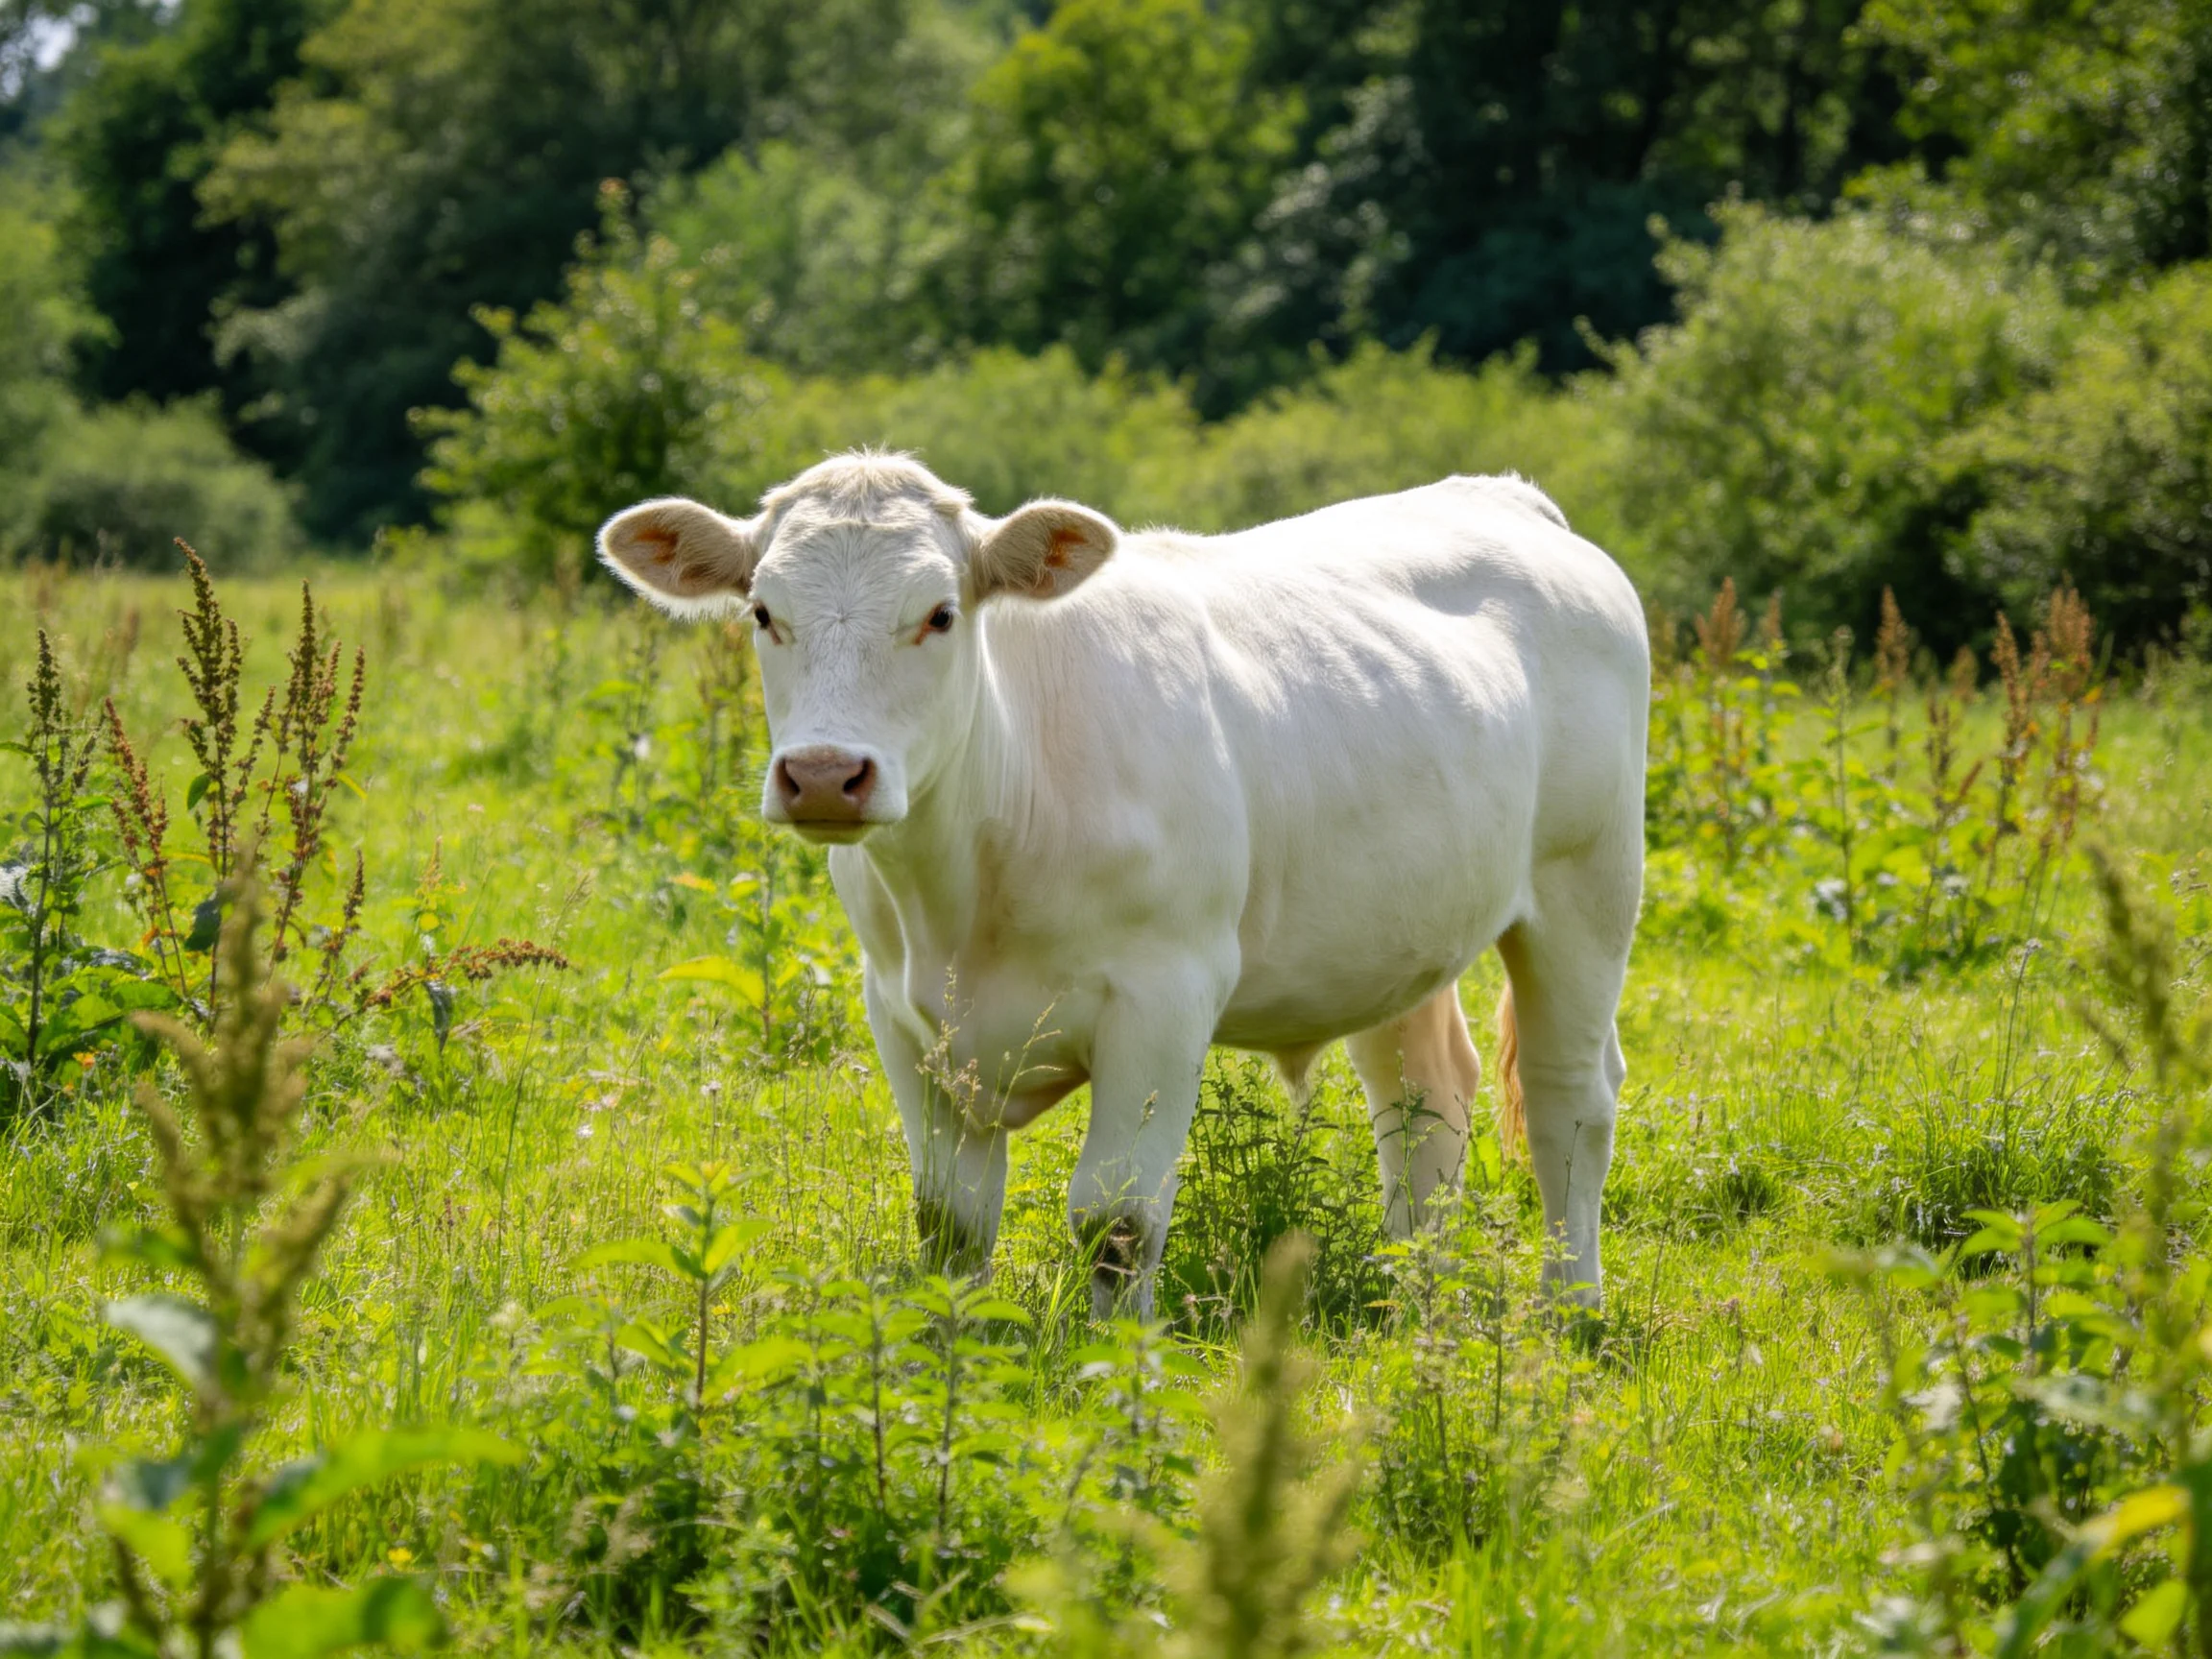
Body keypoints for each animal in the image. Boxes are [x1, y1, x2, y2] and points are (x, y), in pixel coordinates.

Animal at [598, 453, 1647, 1318]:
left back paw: (1570, 1308)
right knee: (1424, 1099)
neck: (966, 895)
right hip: (1394, 929)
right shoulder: (896, 1011)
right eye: (762, 613)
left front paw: (1118, 1375)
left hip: (1588, 884)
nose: (822, 774)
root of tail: (1504, 496)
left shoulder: (1164, 997)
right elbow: (950, 1222)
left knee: (1568, 1098)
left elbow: (1119, 1221)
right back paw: (1414, 1300)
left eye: (939, 614)